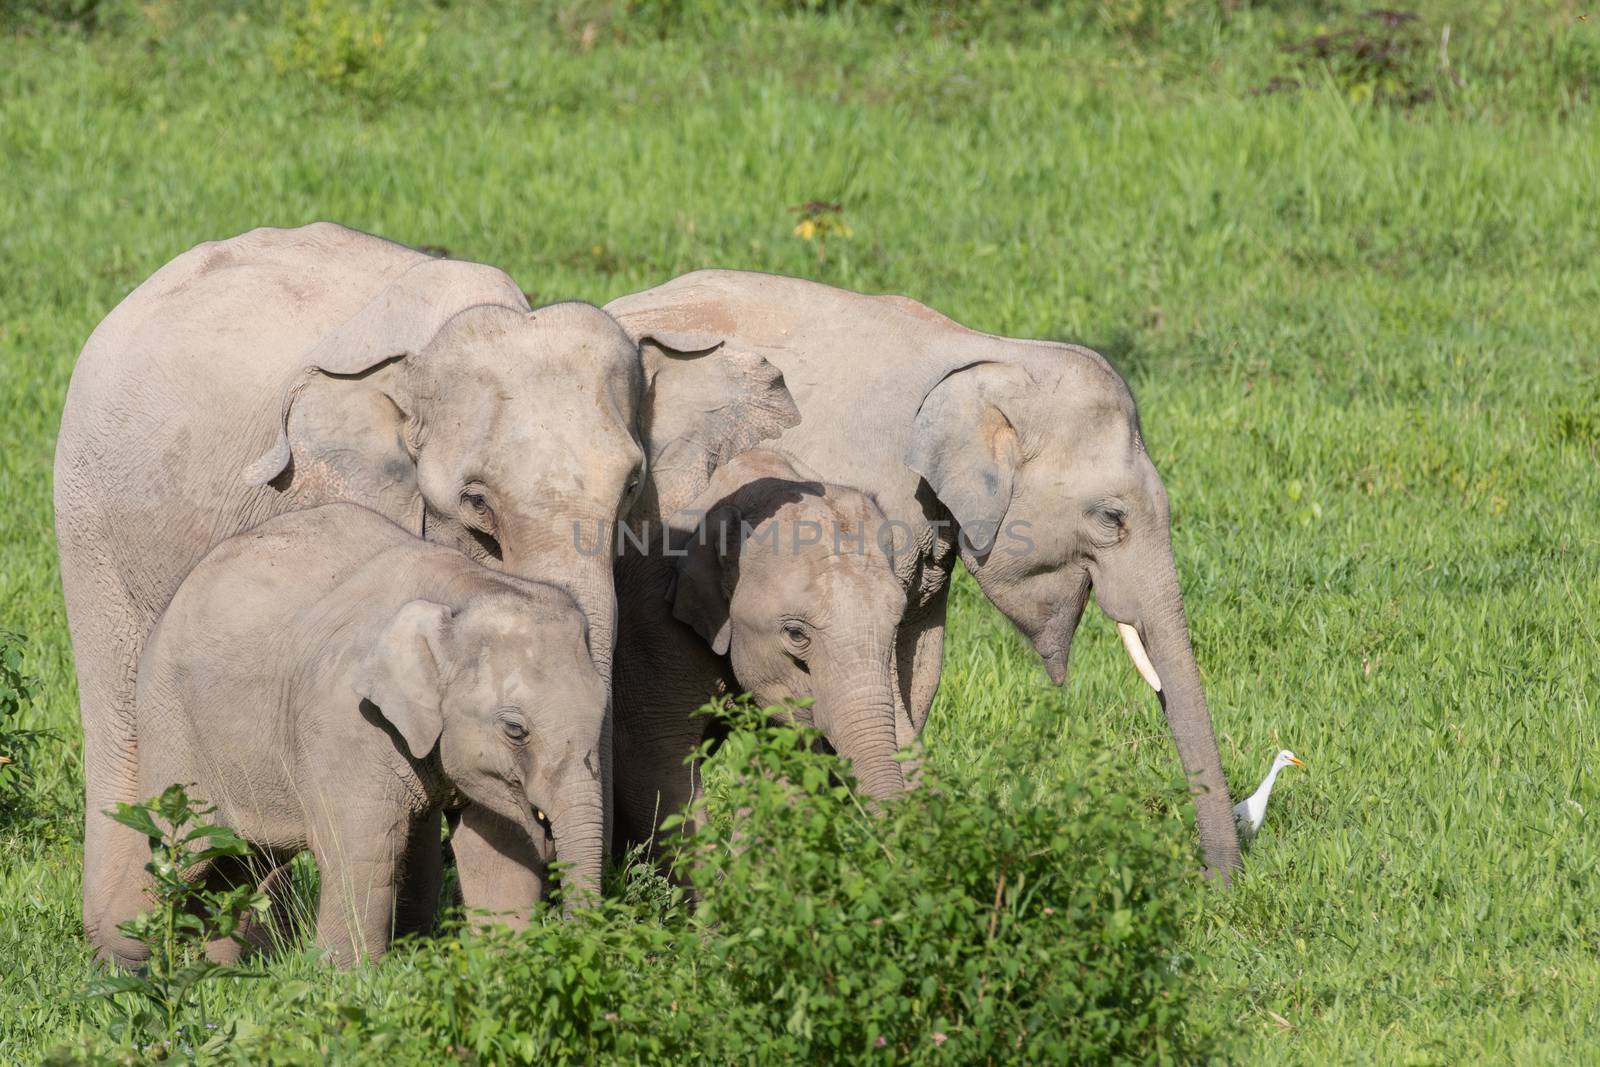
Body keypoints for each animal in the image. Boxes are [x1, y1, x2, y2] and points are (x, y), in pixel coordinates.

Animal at [98, 505, 604, 972]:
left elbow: (501, 859)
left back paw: (219, 970)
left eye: (601, 716)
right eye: (515, 730)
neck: (467, 589)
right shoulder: (346, 718)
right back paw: (122, 971)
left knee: (239, 859)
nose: (579, 945)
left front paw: (504, 969)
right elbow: (364, 850)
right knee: (175, 845)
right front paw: (349, 980)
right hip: (171, 723)